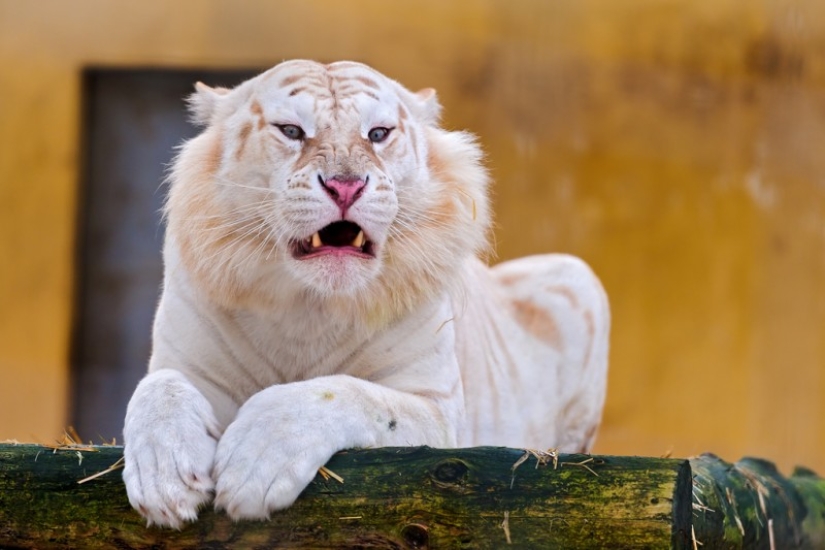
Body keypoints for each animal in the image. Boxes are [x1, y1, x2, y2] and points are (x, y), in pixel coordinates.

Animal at [122, 59, 610, 528]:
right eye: (291, 130)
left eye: (378, 133)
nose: (346, 186)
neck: (308, 307)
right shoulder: (186, 363)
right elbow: (157, 388)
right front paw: (164, 480)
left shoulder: (438, 410)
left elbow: (349, 394)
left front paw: (253, 464)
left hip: (577, 276)